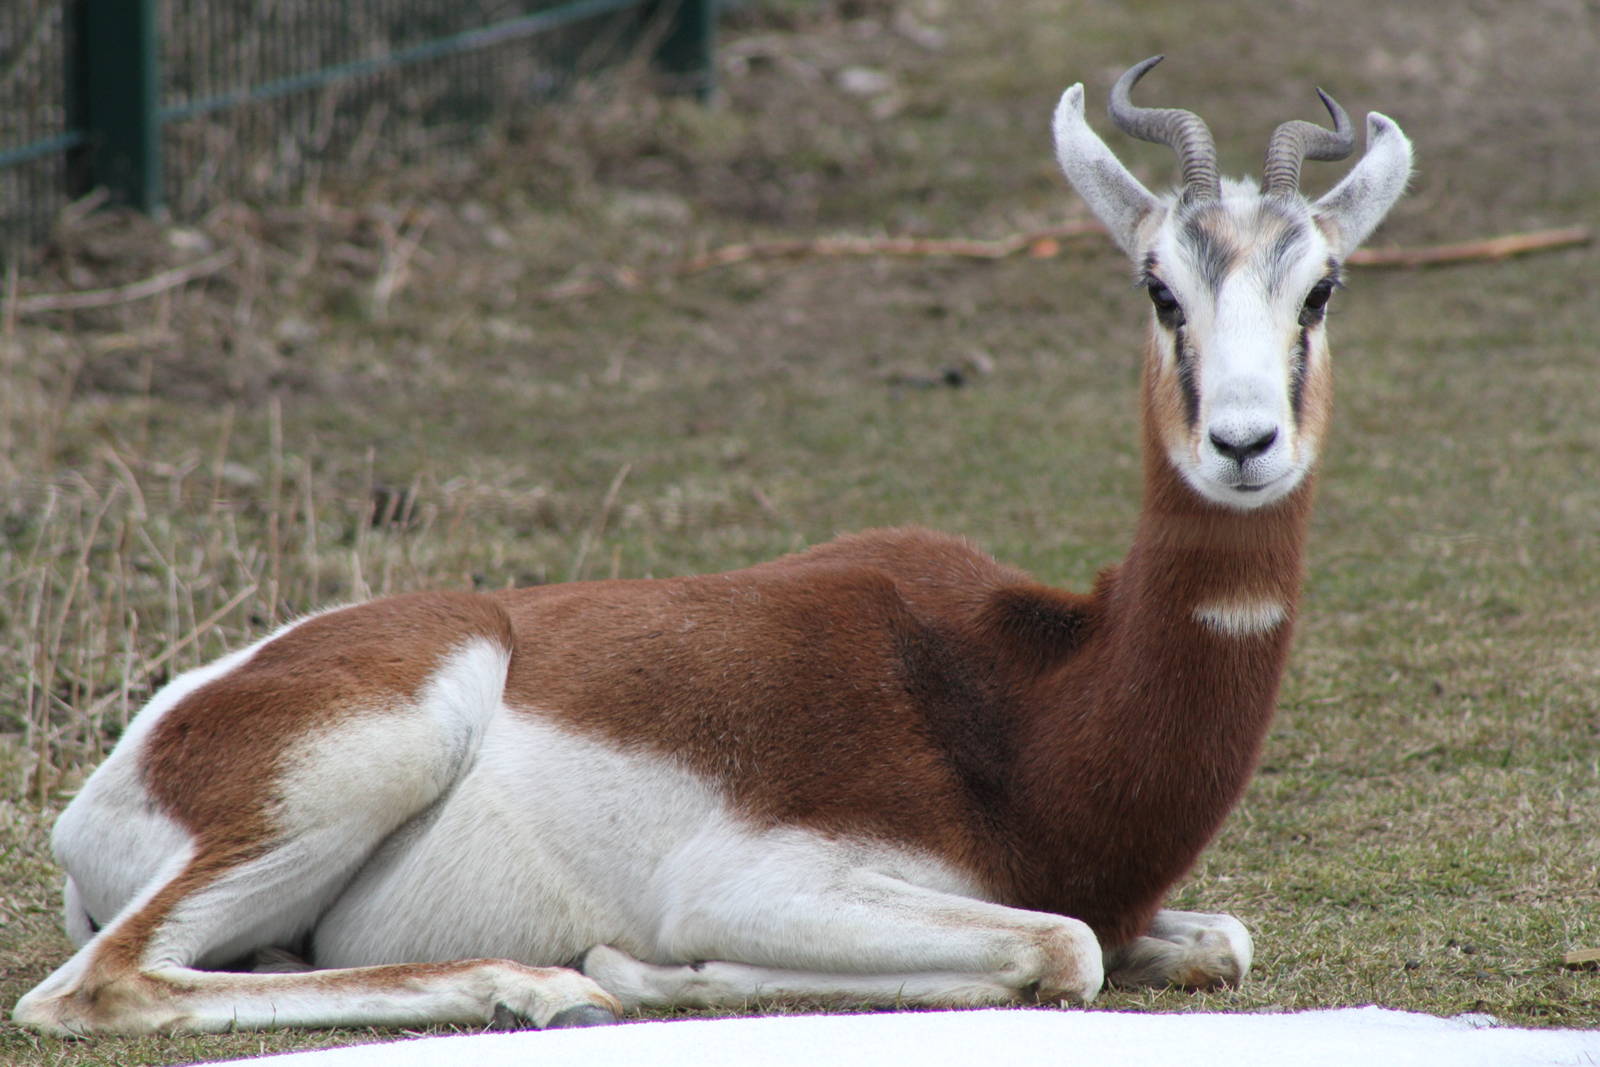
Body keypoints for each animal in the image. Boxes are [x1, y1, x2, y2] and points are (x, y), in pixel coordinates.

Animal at [15, 56, 1411, 1036]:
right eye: (1158, 285)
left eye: (1321, 287)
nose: (1243, 442)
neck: (1030, 703)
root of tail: (119, 774)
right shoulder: (758, 882)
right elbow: (1060, 942)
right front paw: (642, 967)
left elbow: (1211, 935)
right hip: (378, 745)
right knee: (90, 986)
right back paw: (546, 986)